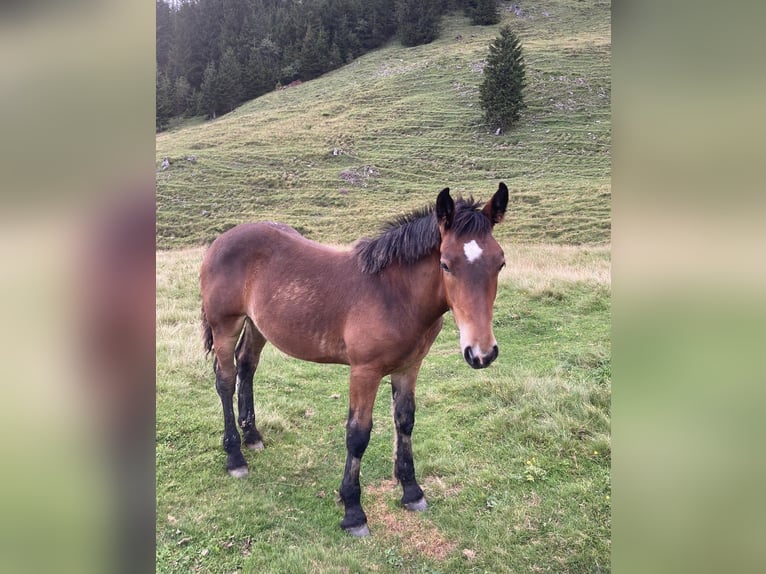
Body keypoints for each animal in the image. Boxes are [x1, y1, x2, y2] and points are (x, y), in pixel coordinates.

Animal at [200, 183, 510, 536]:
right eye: (445, 264)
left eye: (500, 263)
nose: (481, 353)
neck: (395, 295)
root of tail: (221, 240)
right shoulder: (365, 371)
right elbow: (358, 435)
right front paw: (353, 511)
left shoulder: (409, 366)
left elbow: (405, 421)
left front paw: (412, 492)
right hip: (224, 324)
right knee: (225, 379)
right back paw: (235, 456)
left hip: (256, 325)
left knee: (247, 366)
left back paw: (252, 436)